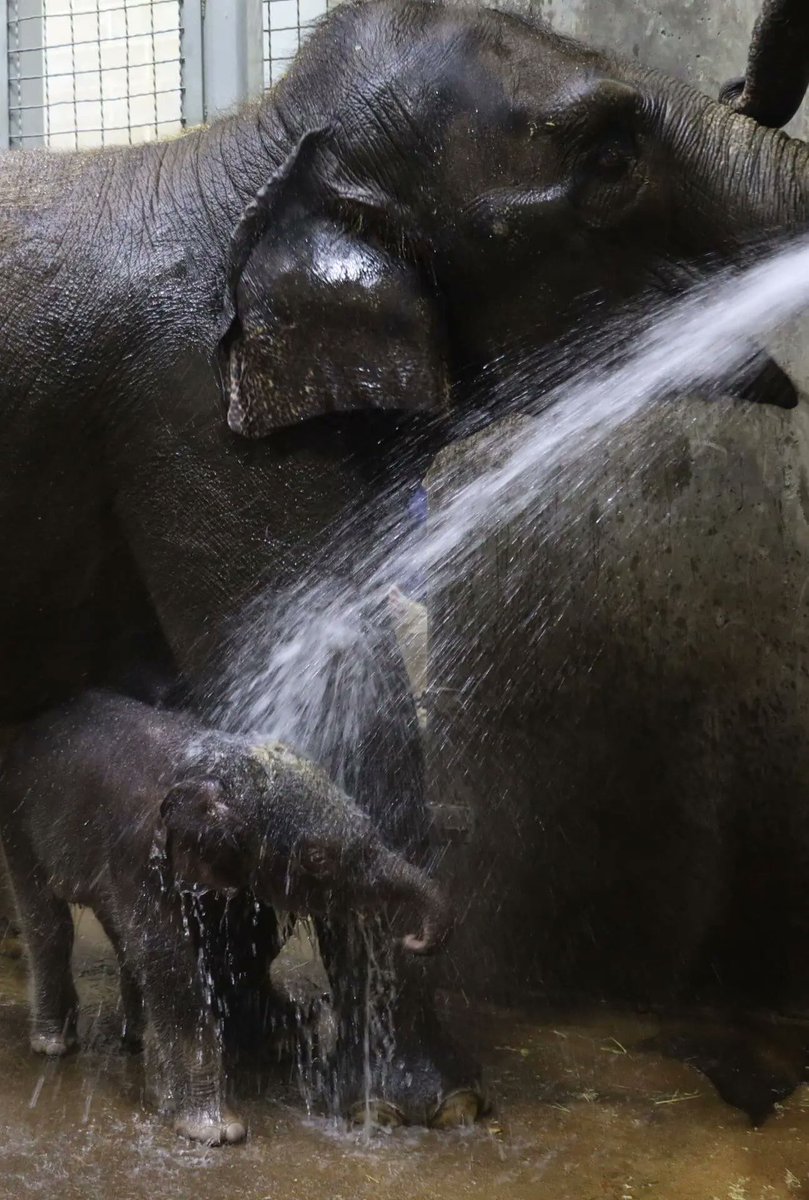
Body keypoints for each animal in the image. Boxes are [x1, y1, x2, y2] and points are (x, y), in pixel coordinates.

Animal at [0, 690, 451, 1145]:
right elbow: (170, 960)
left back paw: (134, 1038)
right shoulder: (141, 853)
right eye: (316, 859)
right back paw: (55, 1045)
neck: (209, 767)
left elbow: (235, 942)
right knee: (50, 924)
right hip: (18, 819)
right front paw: (218, 1131)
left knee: (120, 934)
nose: (416, 940)